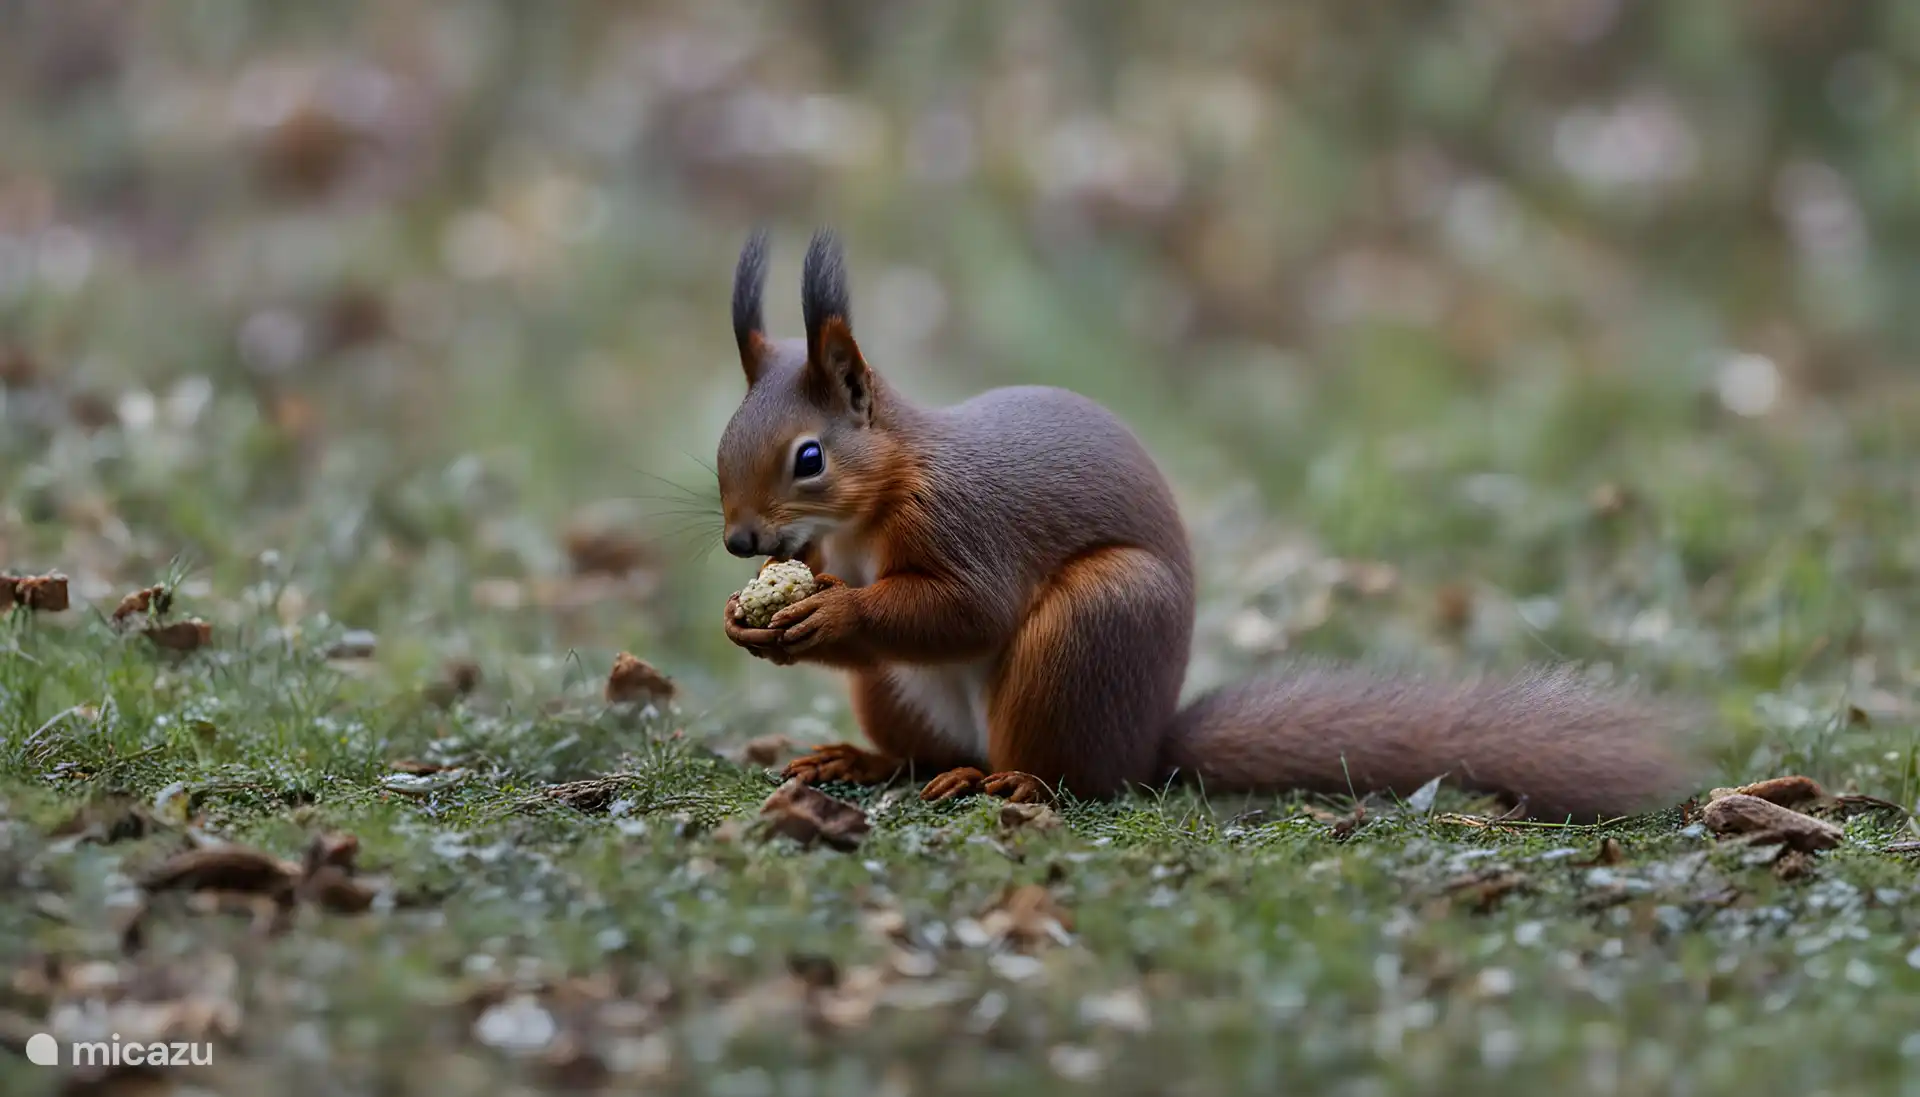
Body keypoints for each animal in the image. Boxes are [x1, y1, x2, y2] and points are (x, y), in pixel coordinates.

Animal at [716, 228, 1706, 822]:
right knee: (920, 751)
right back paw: (865, 762)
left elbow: (965, 609)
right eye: (724, 444)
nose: (738, 543)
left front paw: (829, 612)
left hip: (1095, 627)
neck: (874, 504)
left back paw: (1016, 779)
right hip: (899, 693)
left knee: (1075, 775)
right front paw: (756, 618)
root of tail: (1149, 745)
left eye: (810, 457)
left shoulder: (965, 523)